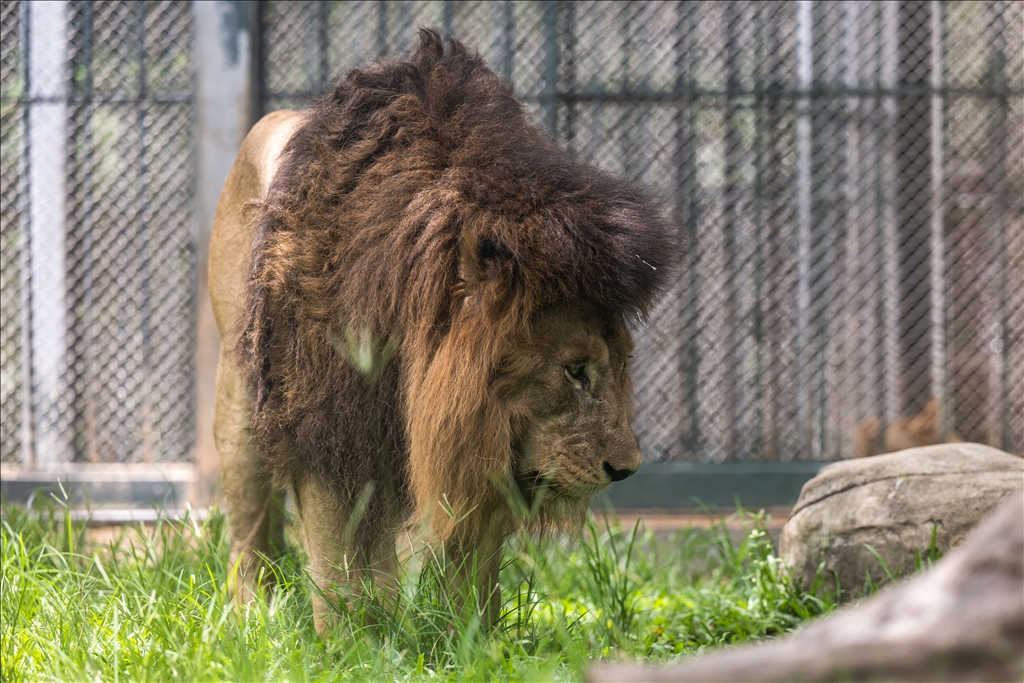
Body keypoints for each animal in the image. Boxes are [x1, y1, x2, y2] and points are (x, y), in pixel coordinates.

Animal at [207, 30, 675, 630]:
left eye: (620, 366)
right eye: (574, 371)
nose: (625, 469)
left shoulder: (476, 442)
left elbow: (472, 572)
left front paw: (476, 640)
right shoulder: (326, 424)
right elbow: (335, 564)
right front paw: (348, 642)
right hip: (242, 404)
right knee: (252, 533)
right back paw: (252, 616)